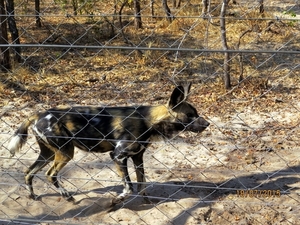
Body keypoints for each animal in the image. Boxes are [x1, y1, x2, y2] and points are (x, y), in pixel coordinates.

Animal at [7, 83, 209, 205]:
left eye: (196, 114)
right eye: (190, 115)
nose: (207, 124)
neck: (149, 121)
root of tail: (39, 113)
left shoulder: (138, 158)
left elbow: (142, 183)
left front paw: (147, 202)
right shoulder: (118, 156)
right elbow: (129, 187)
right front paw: (117, 200)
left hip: (48, 154)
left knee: (29, 172)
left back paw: (33, 196)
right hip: (65, 153)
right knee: (50, 175)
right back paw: (67, 196)